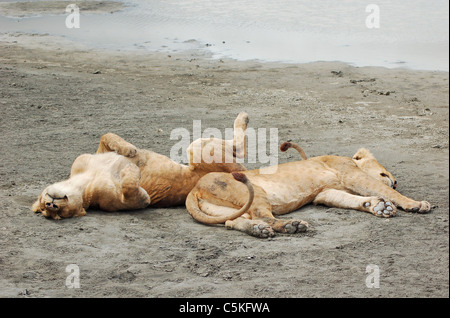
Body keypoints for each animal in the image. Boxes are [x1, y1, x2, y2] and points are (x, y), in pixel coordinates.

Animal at [31, 112, 250, 219]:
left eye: (42, 203)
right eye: (54, 214)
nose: (51, 204)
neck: (81, 182)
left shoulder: (88, 157)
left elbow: (106, 135)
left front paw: (130, 151)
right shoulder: (126, 202)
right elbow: (134, 191)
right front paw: (132, 169)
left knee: (239, 148)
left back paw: (243, 117)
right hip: (199, 150)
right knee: (240, 153)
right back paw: (243, 118)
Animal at [185, 142, 430, 238]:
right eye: (385, 174)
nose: (396, 181)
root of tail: (194, 188)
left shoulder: (324, 194)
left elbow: (348, 199)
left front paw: (378, 206)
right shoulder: (352, 174)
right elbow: (385, 191)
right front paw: (415, 204)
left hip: (225, 209)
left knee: (231, 222)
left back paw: (259, 230)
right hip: (253, 191)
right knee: (265, 216)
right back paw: (292, 226)